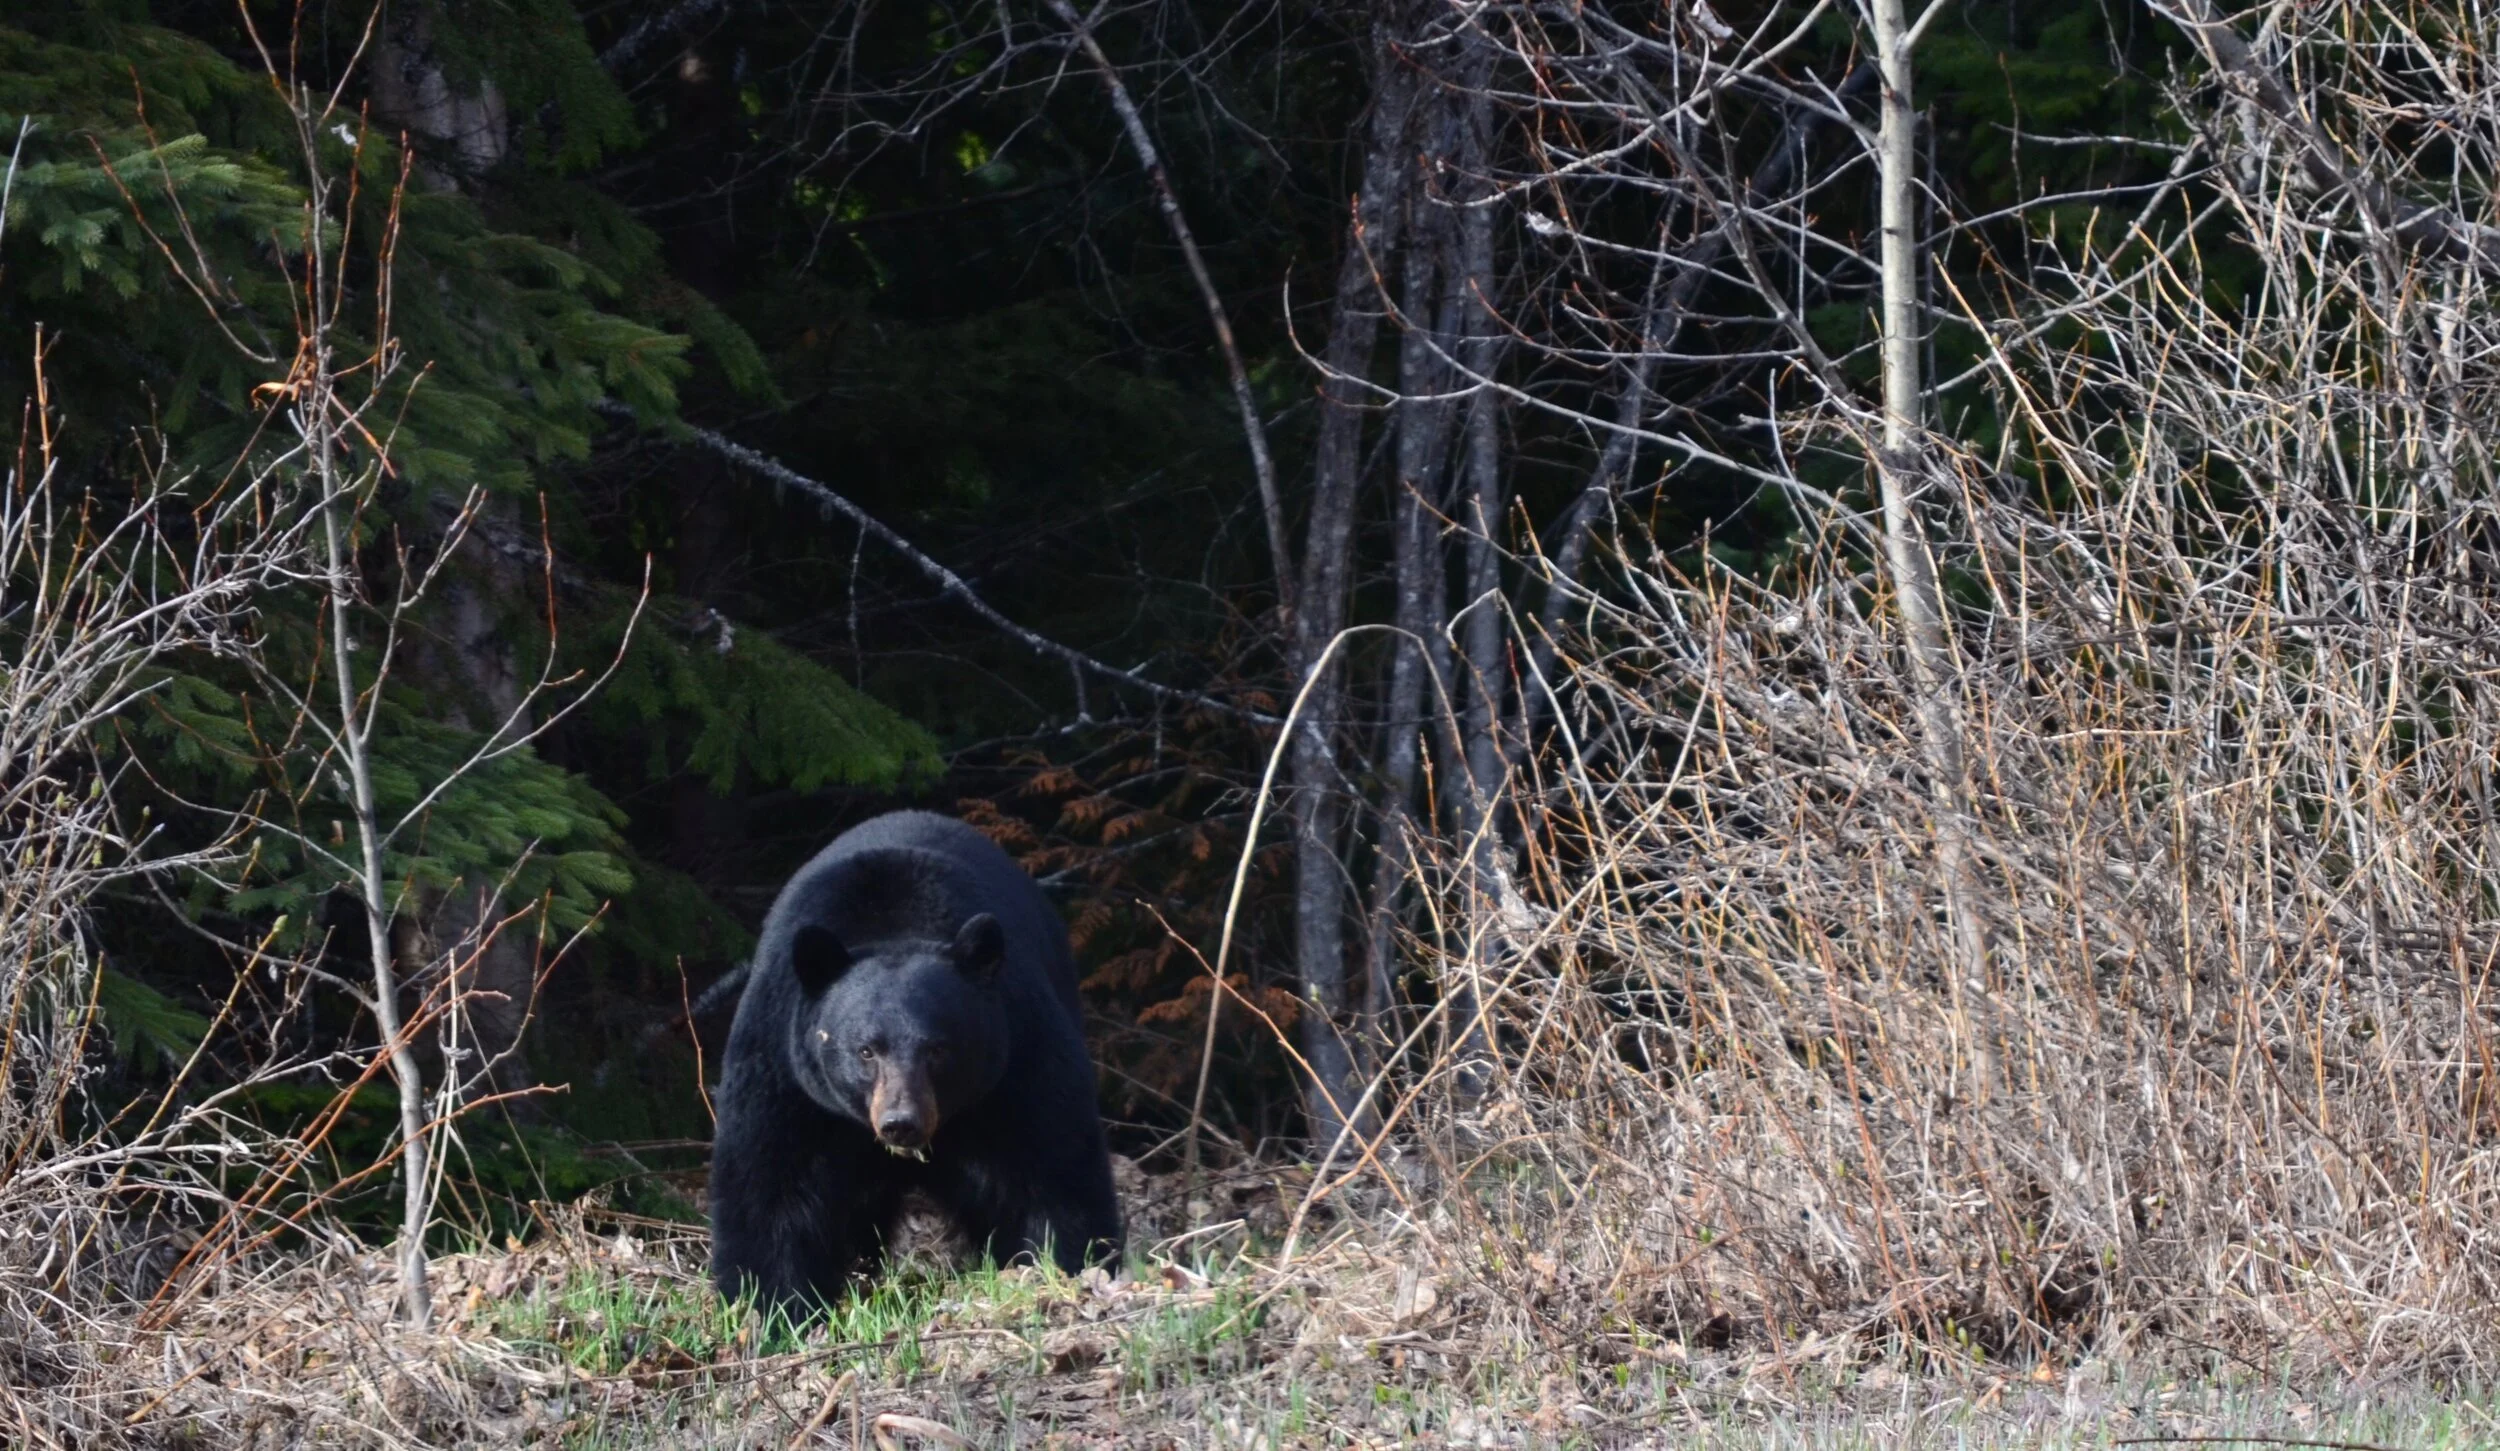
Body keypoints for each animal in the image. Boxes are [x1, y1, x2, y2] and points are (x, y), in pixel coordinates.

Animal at [708, 810, 1124, 1315]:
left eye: (938, 1049)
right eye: (866, 1050)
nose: (900, 1122)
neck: (896, 927)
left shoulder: (1017, 1059)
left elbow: (1054, 1170)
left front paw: (1062, 1271)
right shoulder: (785, 1072)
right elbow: (771, 1189)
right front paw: (773, 1306)